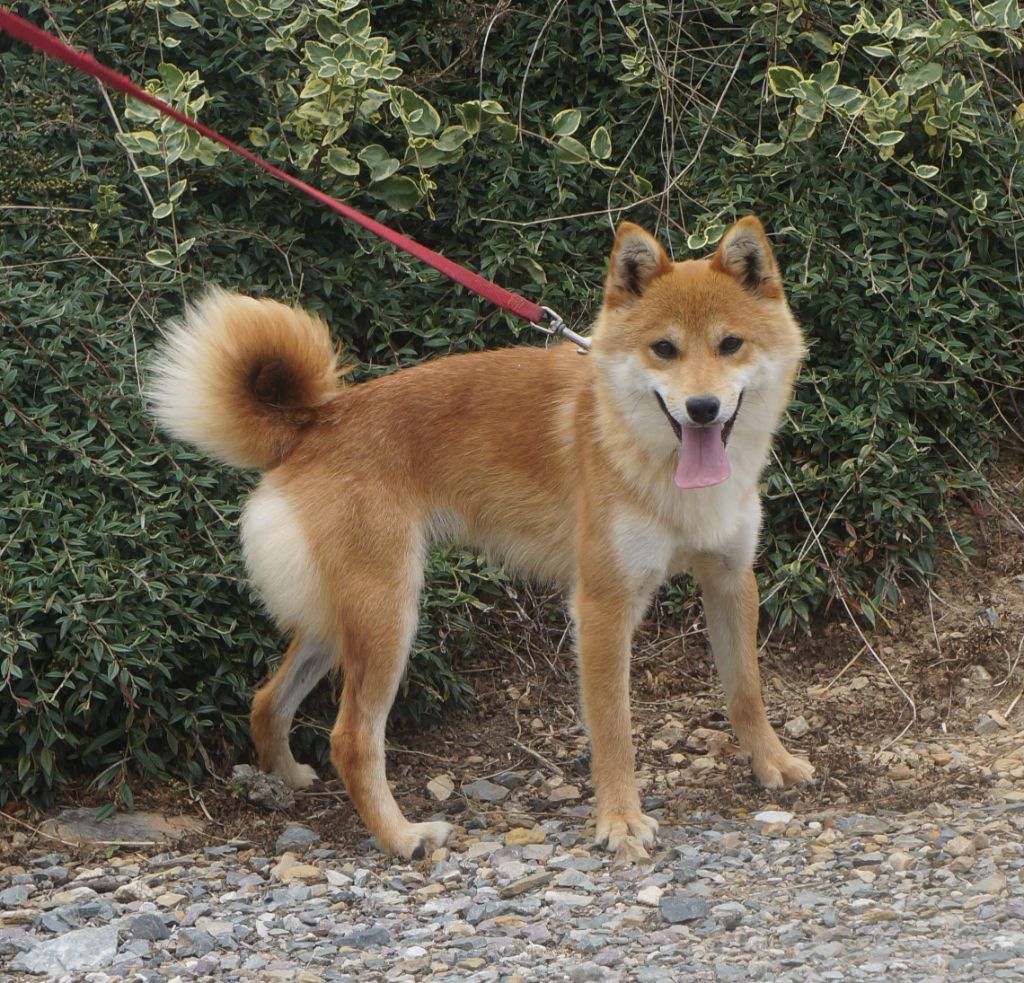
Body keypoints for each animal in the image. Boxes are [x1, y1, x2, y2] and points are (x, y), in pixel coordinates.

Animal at [146, 217, 815, 860]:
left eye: (730, 344)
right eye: (664, 349)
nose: (702, 408)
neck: (651, 457)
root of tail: (314, 424)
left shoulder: (730, 580)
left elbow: (746, 691)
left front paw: (772, 764)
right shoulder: (603, 607)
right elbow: (614, 730)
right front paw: (621, 822)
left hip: (338, 621)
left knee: (267, 701)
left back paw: (283, 780)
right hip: (389, 615)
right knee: (352, 739)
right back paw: (402, 837)